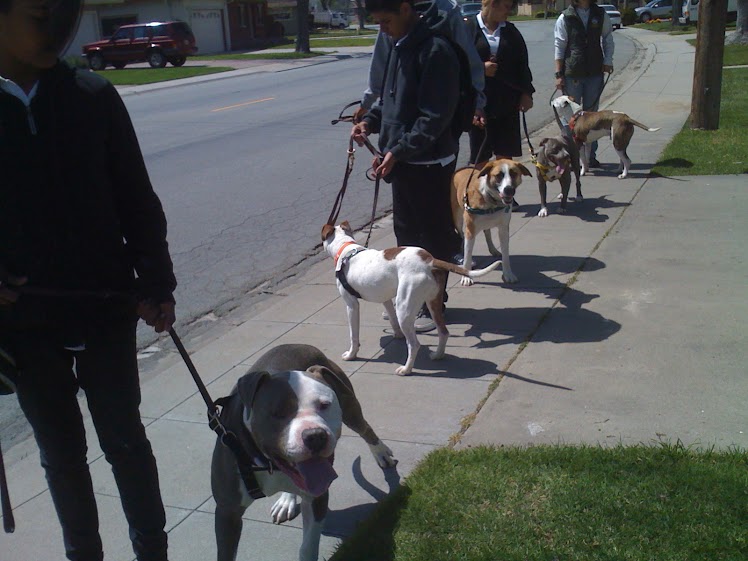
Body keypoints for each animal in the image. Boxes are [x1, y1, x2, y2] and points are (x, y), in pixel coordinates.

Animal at [210, 342, 398, 560]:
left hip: (349, 404)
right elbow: (225, 552)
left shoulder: (317, 498)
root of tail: (297, 344)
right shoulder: (227, 512)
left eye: (324, 405)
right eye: (278, 412)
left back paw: (381, 453)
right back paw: (286, 500)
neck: (268, 464)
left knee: (365, 428)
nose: (315, 435)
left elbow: (308, 547)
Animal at [322, 221, 502, 374]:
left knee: (415, 344)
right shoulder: (386, 299)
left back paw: (406, 369)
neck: (346, 249)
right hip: (432, 302)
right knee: (443, 332)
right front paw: (397, 335)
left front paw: (351, 354)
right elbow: (392, 320)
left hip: (404, 308)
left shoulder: (351, 305)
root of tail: (430, 260)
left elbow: (353, 335)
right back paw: (437, 355)